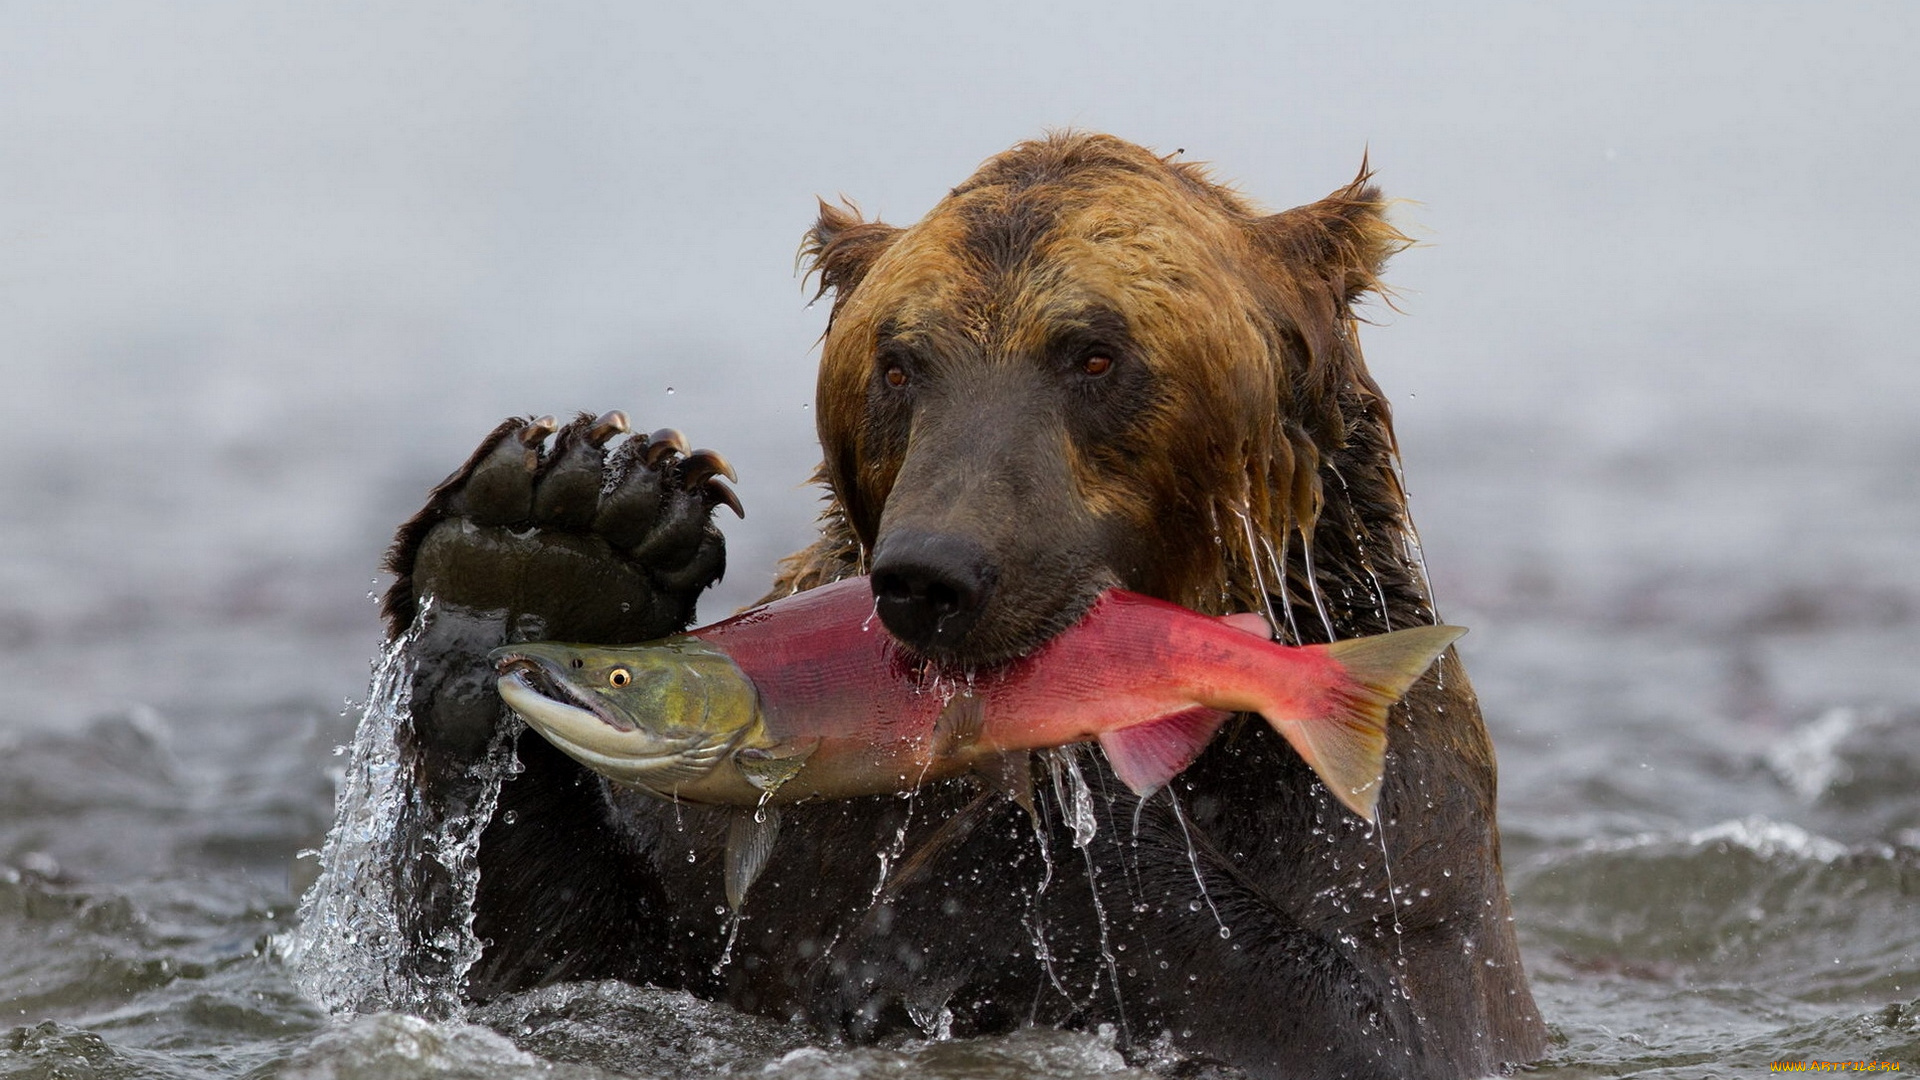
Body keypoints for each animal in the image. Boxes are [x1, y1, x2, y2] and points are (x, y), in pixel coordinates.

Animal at [370, 132, 1547, 1079]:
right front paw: (552, 539)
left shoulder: (1385, 831)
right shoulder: (751, 855)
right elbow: (556, 971)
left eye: (1096, 352)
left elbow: (1377, 1016)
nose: (933, 572)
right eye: (898, 363)